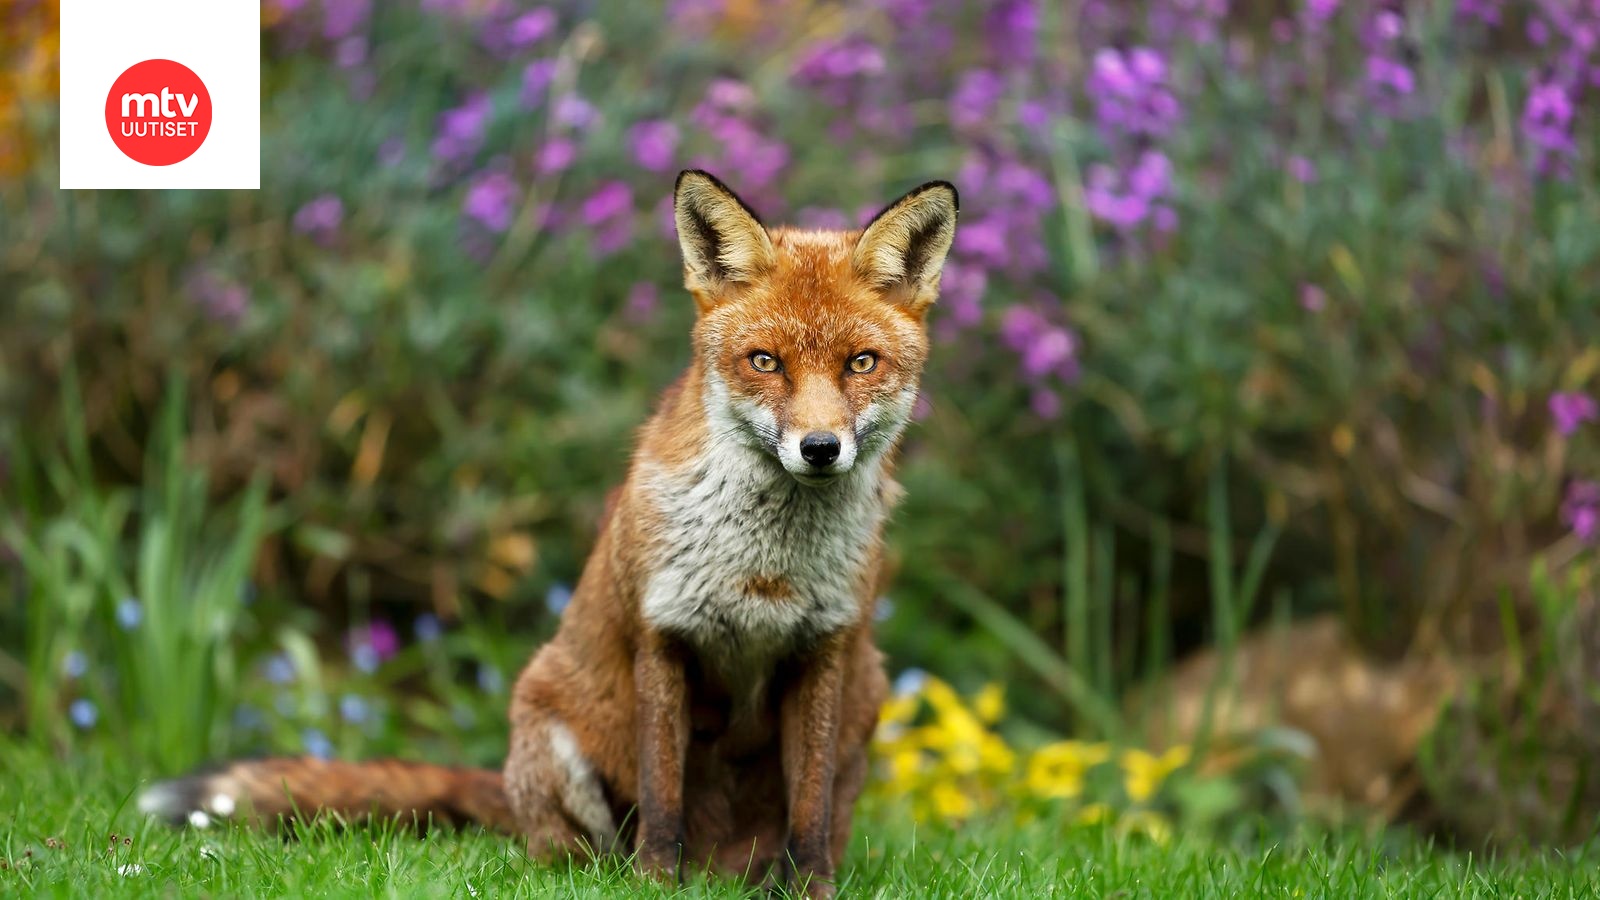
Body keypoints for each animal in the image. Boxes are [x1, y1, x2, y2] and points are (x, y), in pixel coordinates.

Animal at [137, 169, 953, 896]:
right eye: (765, 362)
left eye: (861, 363)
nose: (820, 449)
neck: (765, 569)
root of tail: (720, 872)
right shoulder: (664, 638)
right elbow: (663, 800)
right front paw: (656, 887)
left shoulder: (823, 651)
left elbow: (808, 818)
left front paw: (811, 891)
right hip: (550, 725)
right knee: (572, 853)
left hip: (865, 706)